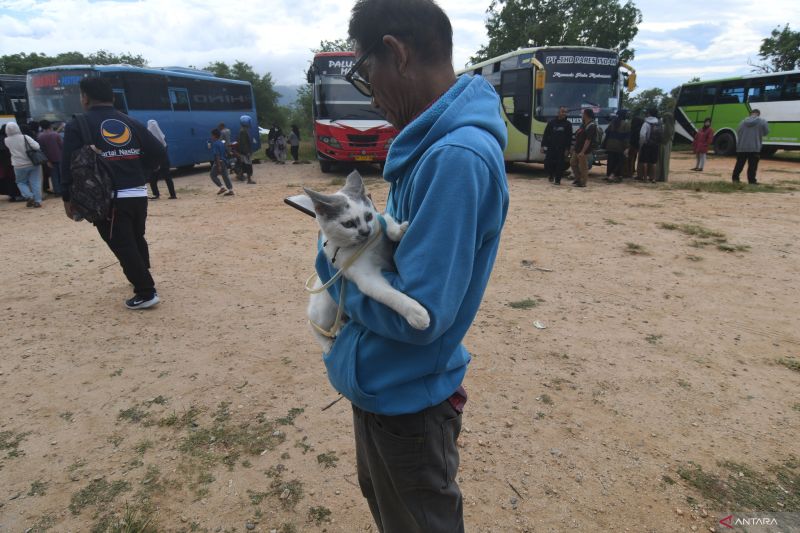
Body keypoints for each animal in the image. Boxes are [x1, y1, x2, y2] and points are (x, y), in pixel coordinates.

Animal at [304, 171, 432, 354]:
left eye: (368, 216)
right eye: (348, 224)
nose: (365, 231)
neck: (366, 246)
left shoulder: (379, 220)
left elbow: (385, 218)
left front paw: (398, 231)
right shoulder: (366, 278)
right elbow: (390, 295)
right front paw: (415, 312)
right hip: (324, 310)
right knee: (314, 325)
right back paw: (327, 344)